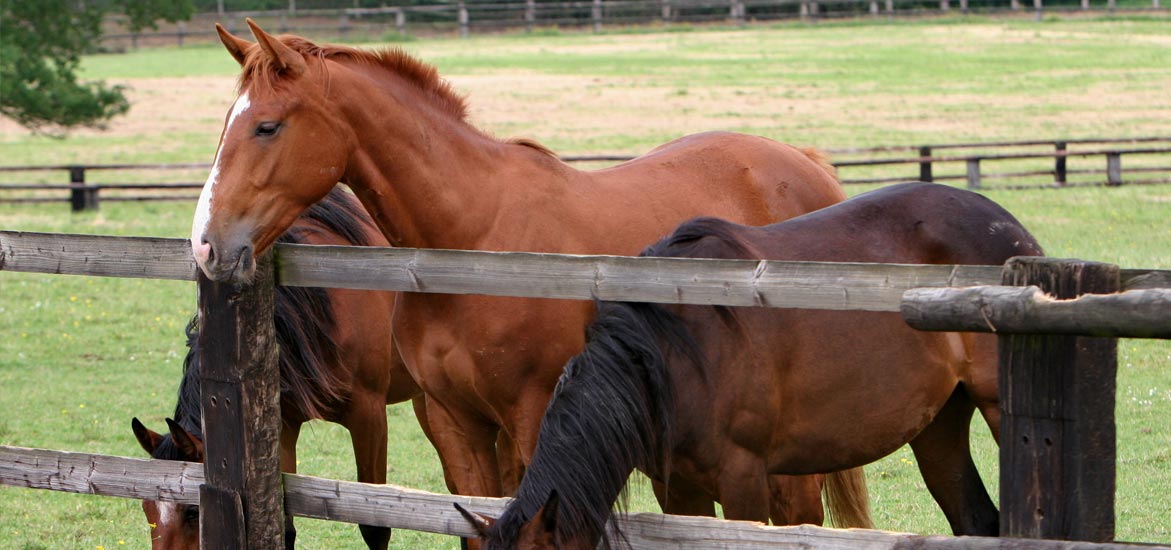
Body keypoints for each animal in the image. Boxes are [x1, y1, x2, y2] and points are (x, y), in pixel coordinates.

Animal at [131, 187, 423, 550]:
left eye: (192, 511)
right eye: (147, 509)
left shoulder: (369, 418)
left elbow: (375, 526)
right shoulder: (284, 425)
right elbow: (285, 526)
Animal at [189, 20, 859, 535]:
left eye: (267, 126)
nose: (206, 244)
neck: (472, 237)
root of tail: (805, 163)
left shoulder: (536, 418)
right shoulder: (456, 425)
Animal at [458, 183, 1046, 549]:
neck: (676, 352)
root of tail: (1009, 228)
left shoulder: (743, 481)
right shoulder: (681, 491)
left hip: (997, 408)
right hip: (938, 424)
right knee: (976, 520)